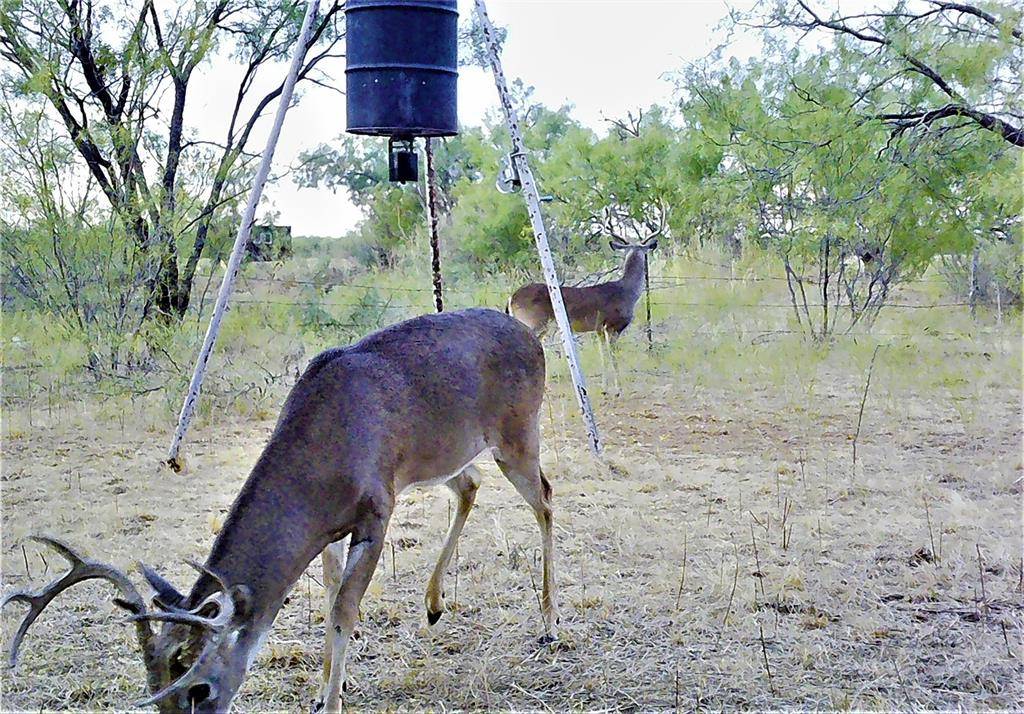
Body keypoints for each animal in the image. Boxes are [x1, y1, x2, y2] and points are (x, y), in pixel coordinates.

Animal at [2, 309, 561, 712]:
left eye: (198, 689)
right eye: (157, 695)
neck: (323, 458)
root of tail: (531, 335)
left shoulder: (377, 509)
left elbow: (343, 609)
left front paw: (332, 701)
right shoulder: (332, 528)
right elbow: (330, 595)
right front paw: (326, 687)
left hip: (518, 433)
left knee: (546, 498)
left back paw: (550, 624)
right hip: (446, 454)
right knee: (470, 484)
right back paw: (434, 603)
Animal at [507, 218, 659, 395]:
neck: (627, 291)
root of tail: (511, 298)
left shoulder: (599, 329)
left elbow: (602, 355)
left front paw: (605, 388)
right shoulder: (612, 326)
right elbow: (613, 356)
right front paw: (618, 389)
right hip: (534, 322)